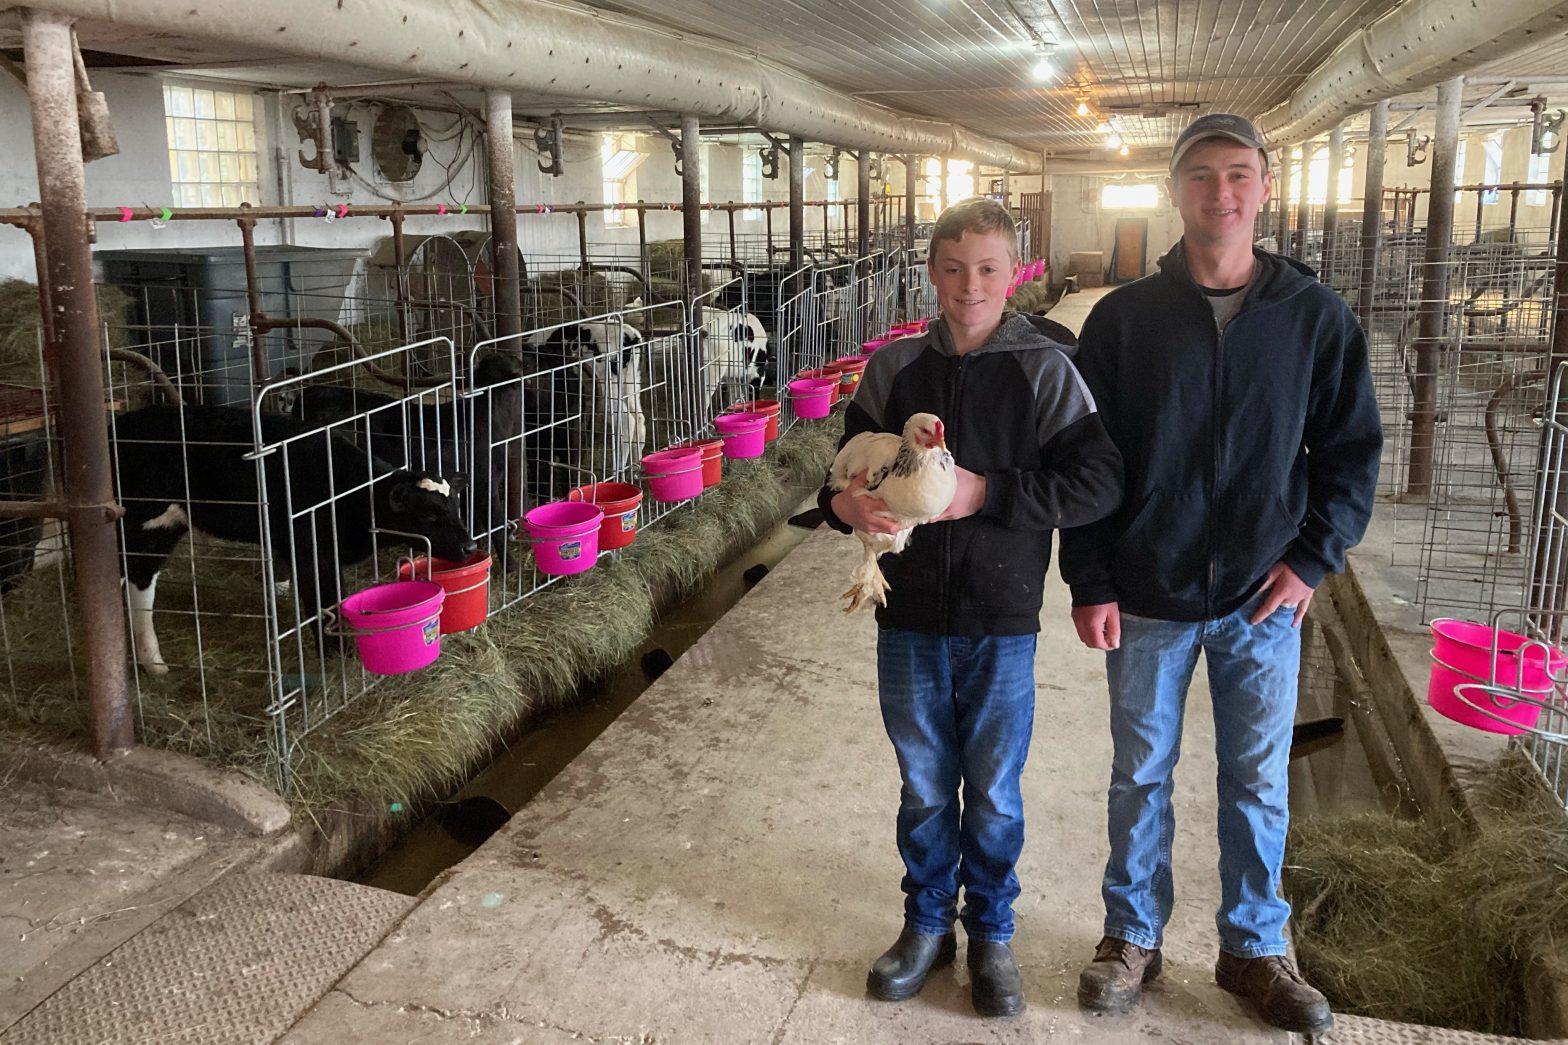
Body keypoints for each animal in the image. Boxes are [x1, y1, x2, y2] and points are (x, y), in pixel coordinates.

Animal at [114, 398, 473, 674]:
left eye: (457, 506)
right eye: (430, 516)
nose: (469, 546)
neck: (348, 493)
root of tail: (119, 425)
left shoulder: (329, 554)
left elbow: (335, 599)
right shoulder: (306, 551)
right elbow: (321, 604)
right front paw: (332, 655)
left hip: (162, 528)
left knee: (134, 577)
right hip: (143, 522)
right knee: (136, 578)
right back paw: (151, 662)